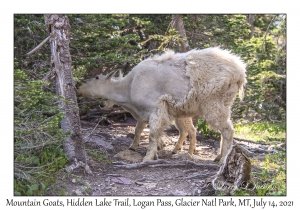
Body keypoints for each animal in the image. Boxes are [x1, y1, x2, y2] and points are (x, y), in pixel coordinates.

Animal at [77, 48, 246, 162]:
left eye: (97, 77)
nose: (79, 88)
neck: (128, 87)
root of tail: (240, 72)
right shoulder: (144, 114)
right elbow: (142, 130)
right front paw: (150, 150)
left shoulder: (155, 108)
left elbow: (152, 134)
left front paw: (148, 157)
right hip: (224, 103)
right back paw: (217, 156)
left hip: (213, 103)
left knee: (227, 130)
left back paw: (222, 159)